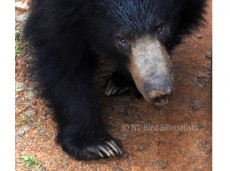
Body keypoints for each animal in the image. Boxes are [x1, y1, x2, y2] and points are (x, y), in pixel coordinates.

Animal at [24, 0, 207, 160]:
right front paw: (97, 145)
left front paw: (121, 83)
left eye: (161, 28)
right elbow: (62, 59)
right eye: (122, 40)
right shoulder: (59, 15)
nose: (160, 91)